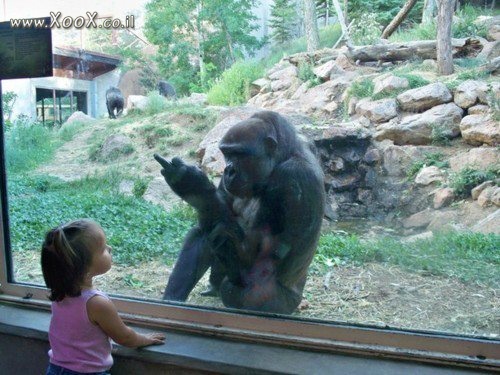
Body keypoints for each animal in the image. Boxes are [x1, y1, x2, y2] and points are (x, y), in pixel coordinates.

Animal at [155, 111, 324, 314]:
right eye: (227, 154)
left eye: (239, 154)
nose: (228, 170)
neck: (282, 157)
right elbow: (210, 219)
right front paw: (193, 189)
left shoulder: (293, 178)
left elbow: (266, 256)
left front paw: (192, 184)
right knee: (209, 232)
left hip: (285, 305)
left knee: (235, 287)